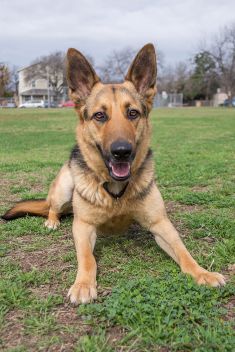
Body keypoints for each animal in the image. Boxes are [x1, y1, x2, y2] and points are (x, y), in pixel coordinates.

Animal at [2, 43, 226, 302]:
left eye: (133, 113)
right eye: (100, 115)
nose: (122, 152)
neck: (117, 190)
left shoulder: (161, 224)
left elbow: (184, 252)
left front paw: (203, 273)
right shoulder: (83, 226)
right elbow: (87, 259)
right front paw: (83, 284)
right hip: (64, 188)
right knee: (52, 208)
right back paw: (52, 221)